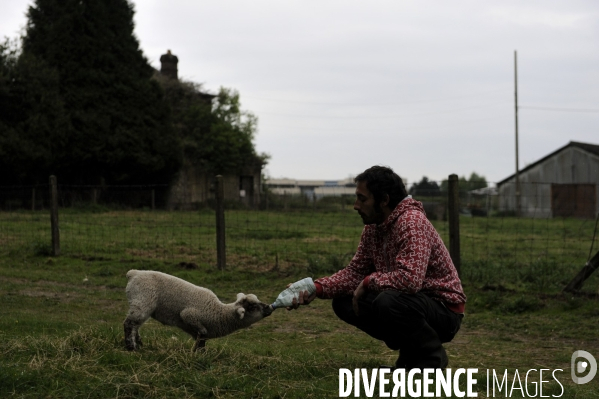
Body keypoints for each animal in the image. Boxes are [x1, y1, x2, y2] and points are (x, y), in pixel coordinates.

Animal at [123, 270, 274, 352]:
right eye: (253, 307)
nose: (269, 307)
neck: (219, 313)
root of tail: (134, 273)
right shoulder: (188, 315)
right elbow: (202, 333)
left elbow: (201, 340)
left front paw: (200, 354)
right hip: (142, 300)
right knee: (129, 324)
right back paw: (132, 347)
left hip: (142, 304)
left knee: (136, 326)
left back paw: (139, 344)